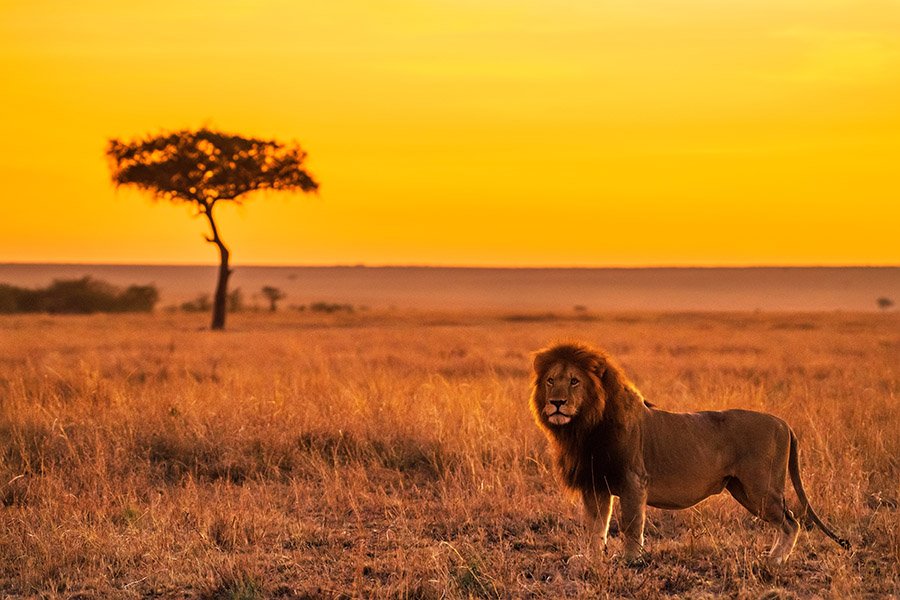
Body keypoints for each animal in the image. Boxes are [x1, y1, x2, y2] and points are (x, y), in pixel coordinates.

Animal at [529, 342, 850, 565]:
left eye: (574, 381)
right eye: (550, 380)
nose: (557, 403)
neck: (584, 427)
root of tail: (783, 423)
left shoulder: (633, 480)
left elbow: (631, 524)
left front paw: (632, 560)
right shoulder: (596, 484)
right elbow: (596, 526)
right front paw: (591, 559)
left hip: (760, 488)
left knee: (791, 522)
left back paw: (774, 561)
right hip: (743, 490)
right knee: (787, 521)